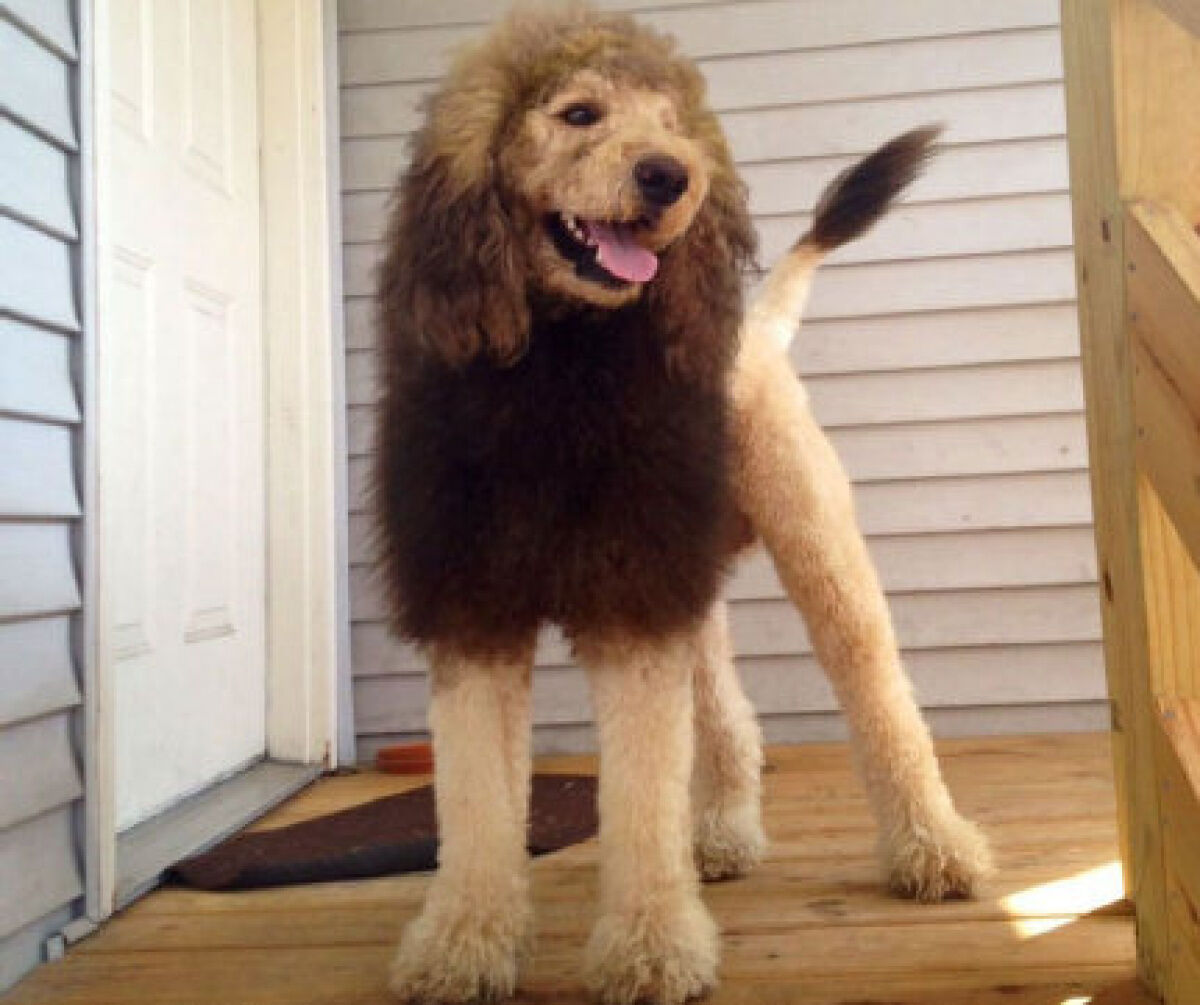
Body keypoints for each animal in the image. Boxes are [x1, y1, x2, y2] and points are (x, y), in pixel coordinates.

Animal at [374, 3, 993, 1002]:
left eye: (671, 122)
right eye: (579, 112)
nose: (671, 176)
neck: (560, 375)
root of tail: (758, 330)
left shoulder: (632, 609)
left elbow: (638, 794)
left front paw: (650, 947)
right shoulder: (481, 611)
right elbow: (474, 804)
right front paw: (463, 944)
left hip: (817, 551)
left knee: (882, 699)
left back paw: (934, 849)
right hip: (690, 583)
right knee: (730, 718)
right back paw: (722, 836)